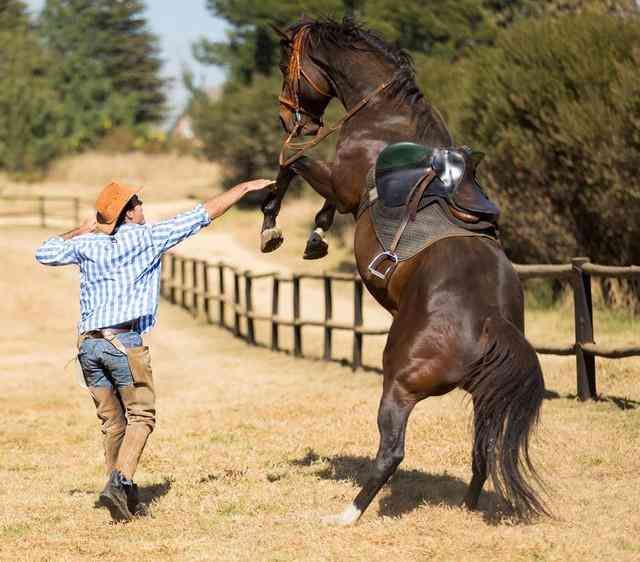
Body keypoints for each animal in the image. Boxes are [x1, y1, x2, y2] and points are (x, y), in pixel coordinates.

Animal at [260, 18, 544, 524]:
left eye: (284, 64)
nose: (290, 117)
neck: (384, 116)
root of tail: (490, 322)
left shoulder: (341, 183)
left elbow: (289, 162)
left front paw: (270, 222)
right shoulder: (343, 193)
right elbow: (317, 198)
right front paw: (315, 237)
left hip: (399, 383)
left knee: (391, 451)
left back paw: (348, 515)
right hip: (485, 398)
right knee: (482, 452)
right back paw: (467, 508)